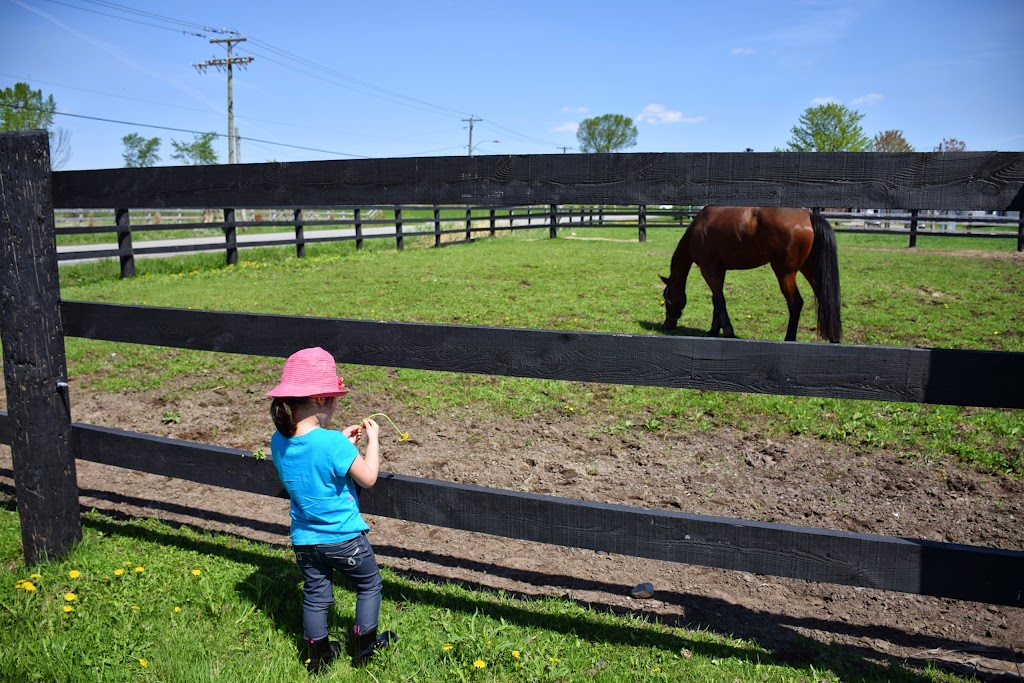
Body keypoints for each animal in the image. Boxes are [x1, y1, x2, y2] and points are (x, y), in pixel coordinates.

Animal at [659, 202, 843, 342]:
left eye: (666, 298)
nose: (667, 325)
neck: (697, 230)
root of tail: (809, 215)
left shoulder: (708, 270)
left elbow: (719, 299)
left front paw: (727, 331)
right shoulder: (719, 270)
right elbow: (716, 300)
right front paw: (713, 330)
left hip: (785, 274)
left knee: (796, 303)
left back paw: (789, 339)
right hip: (810, 270)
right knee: (825, 299)